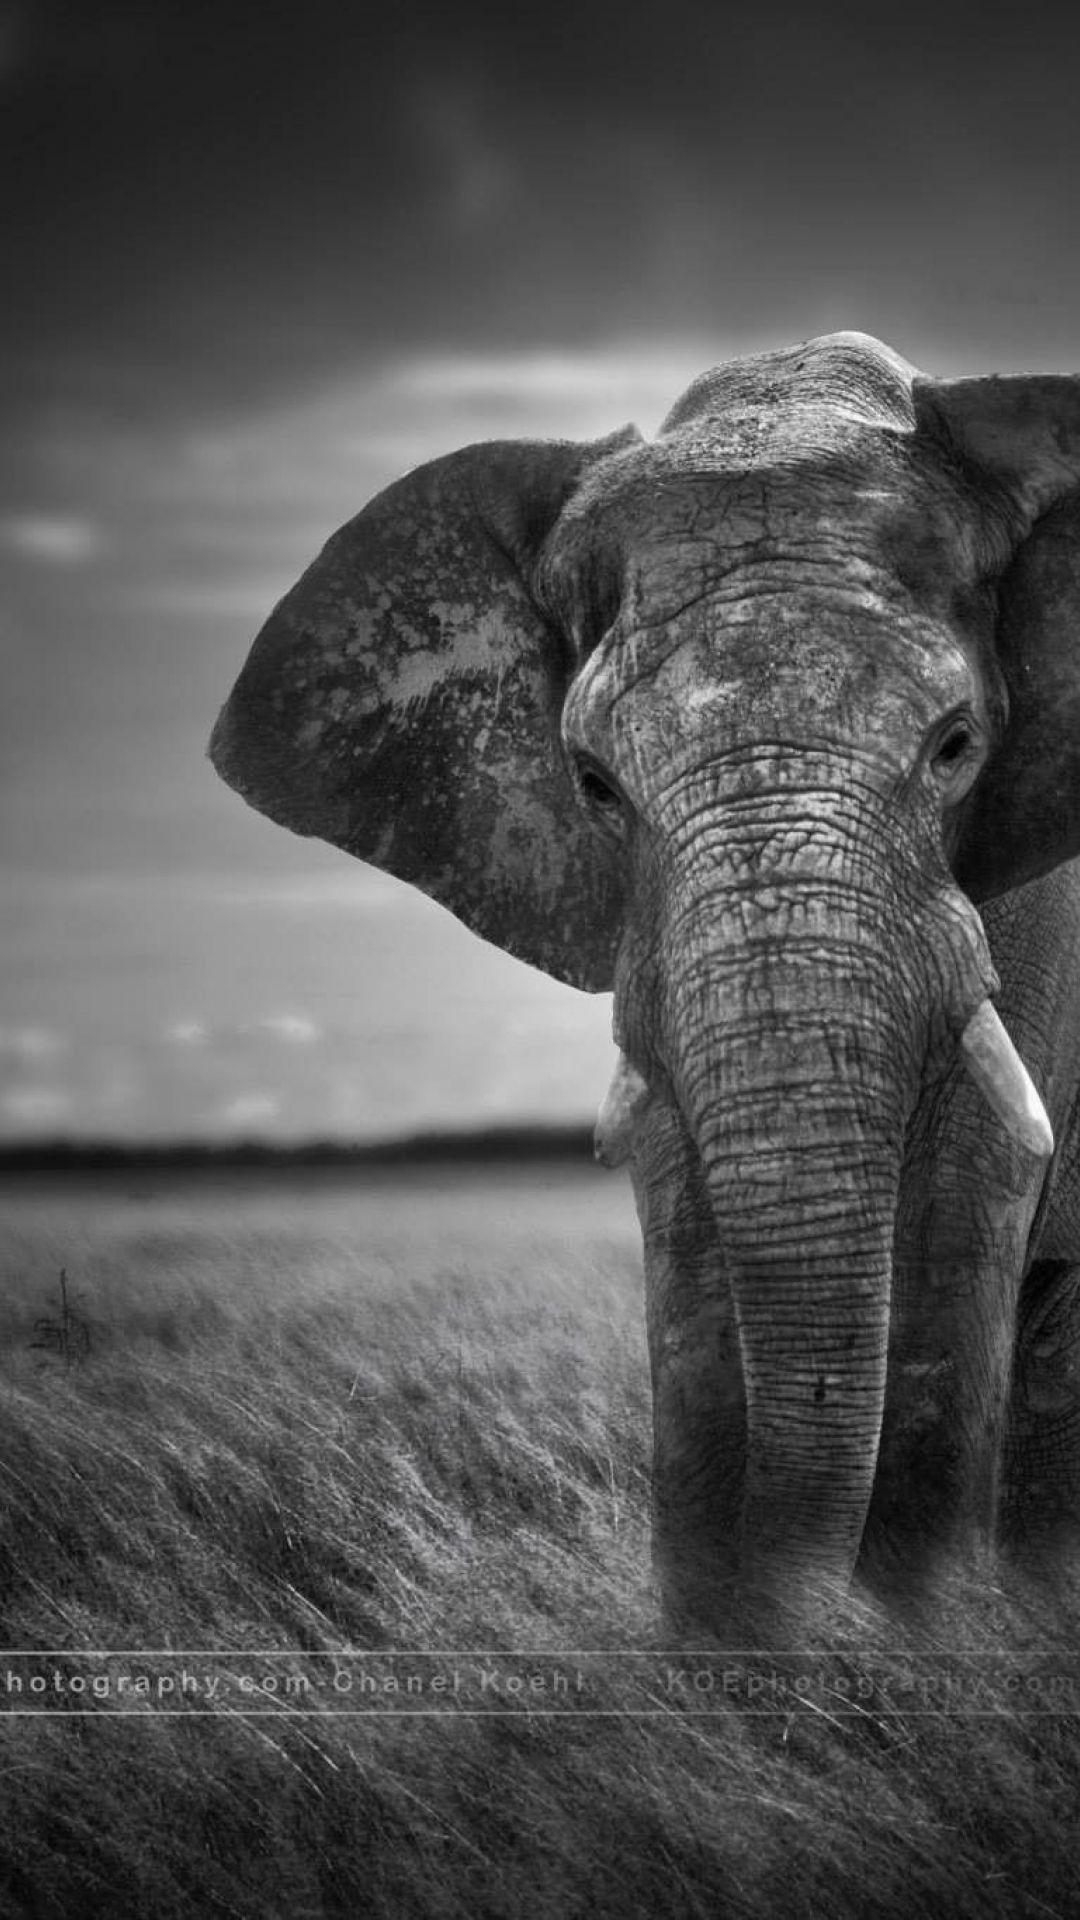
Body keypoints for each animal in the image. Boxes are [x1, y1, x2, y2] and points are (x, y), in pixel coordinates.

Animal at [209, 331, 1080, 1633]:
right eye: (595, 784)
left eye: (955, 747)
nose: (812, 1632)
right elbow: (683, 1235)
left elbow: (961, 1216)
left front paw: (915, 1647)